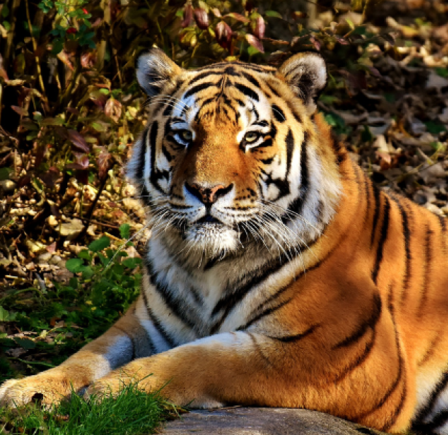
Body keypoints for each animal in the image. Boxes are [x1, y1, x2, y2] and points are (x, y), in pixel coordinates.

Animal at [2, 49, 448, 434]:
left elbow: (203, 359)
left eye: (252, 137)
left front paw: (111, 391)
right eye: (184, 135)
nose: (207, 191)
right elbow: (90, 353)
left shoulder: (341, 356)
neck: (207, 266)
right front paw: (28, 389)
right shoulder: (144, 324)